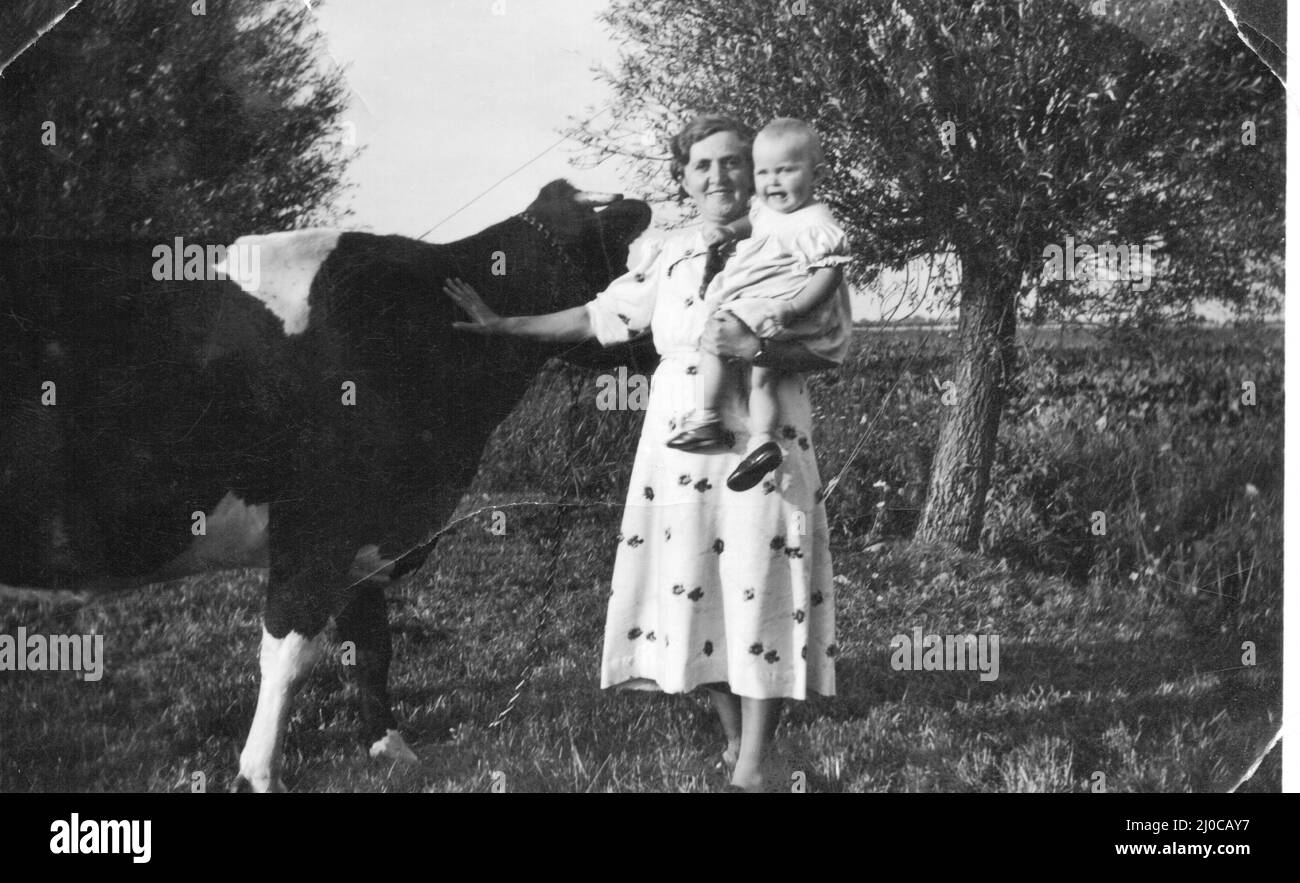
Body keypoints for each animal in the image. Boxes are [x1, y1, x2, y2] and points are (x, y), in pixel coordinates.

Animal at [0, 180, 650, 795]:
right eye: (628, 263)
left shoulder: (368, 533)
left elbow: (373, 644)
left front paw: (392, 750)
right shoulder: (318, 525)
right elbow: (290, 654)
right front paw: (260, 774)